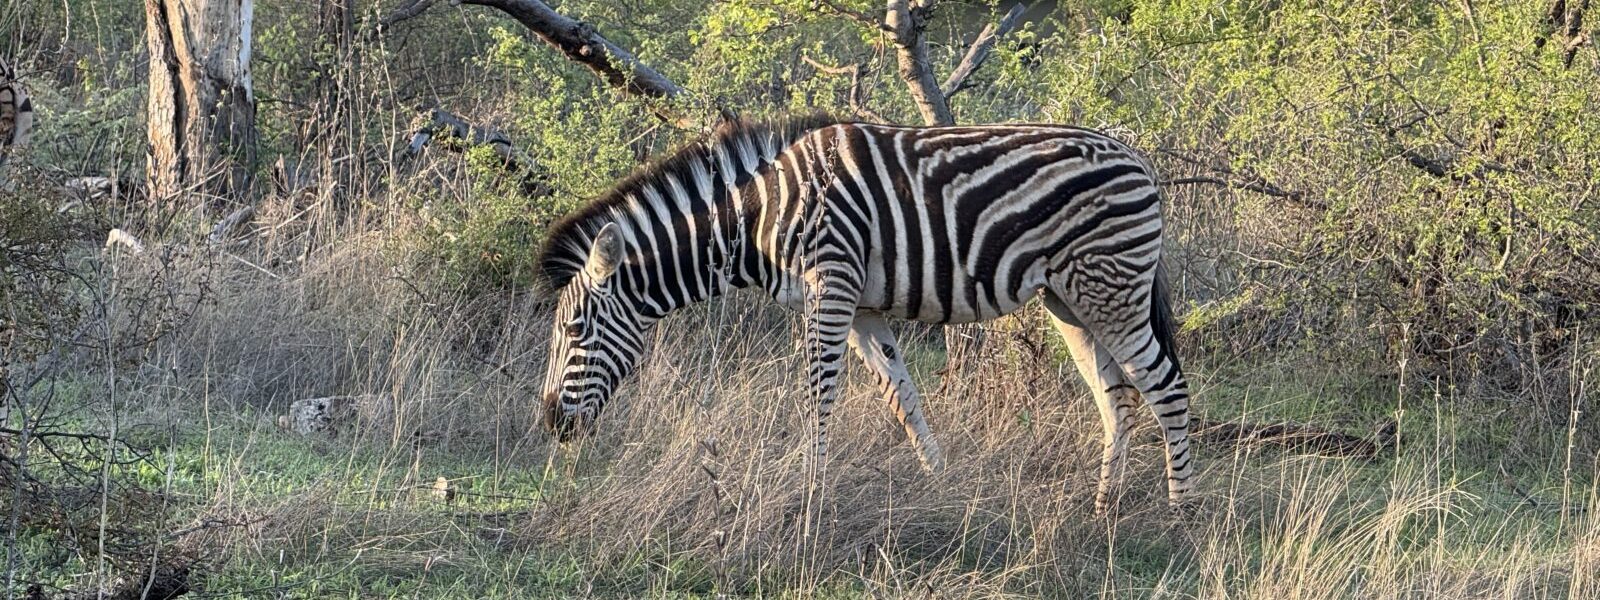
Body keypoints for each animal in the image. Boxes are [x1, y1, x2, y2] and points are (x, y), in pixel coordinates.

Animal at [537, 114, 1194, 512]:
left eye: (574, 330)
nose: (552, 425)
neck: (758, 219)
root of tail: (1136, 157)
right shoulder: (862, 309)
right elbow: (902, 396)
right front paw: (940, 485)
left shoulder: (831, 285)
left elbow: (818, 395)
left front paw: (810, 497)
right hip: (1071, 301)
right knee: (1118, 398)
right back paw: (1104, 508)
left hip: (1111, 288)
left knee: (1167, 387)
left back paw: (1179, 509)